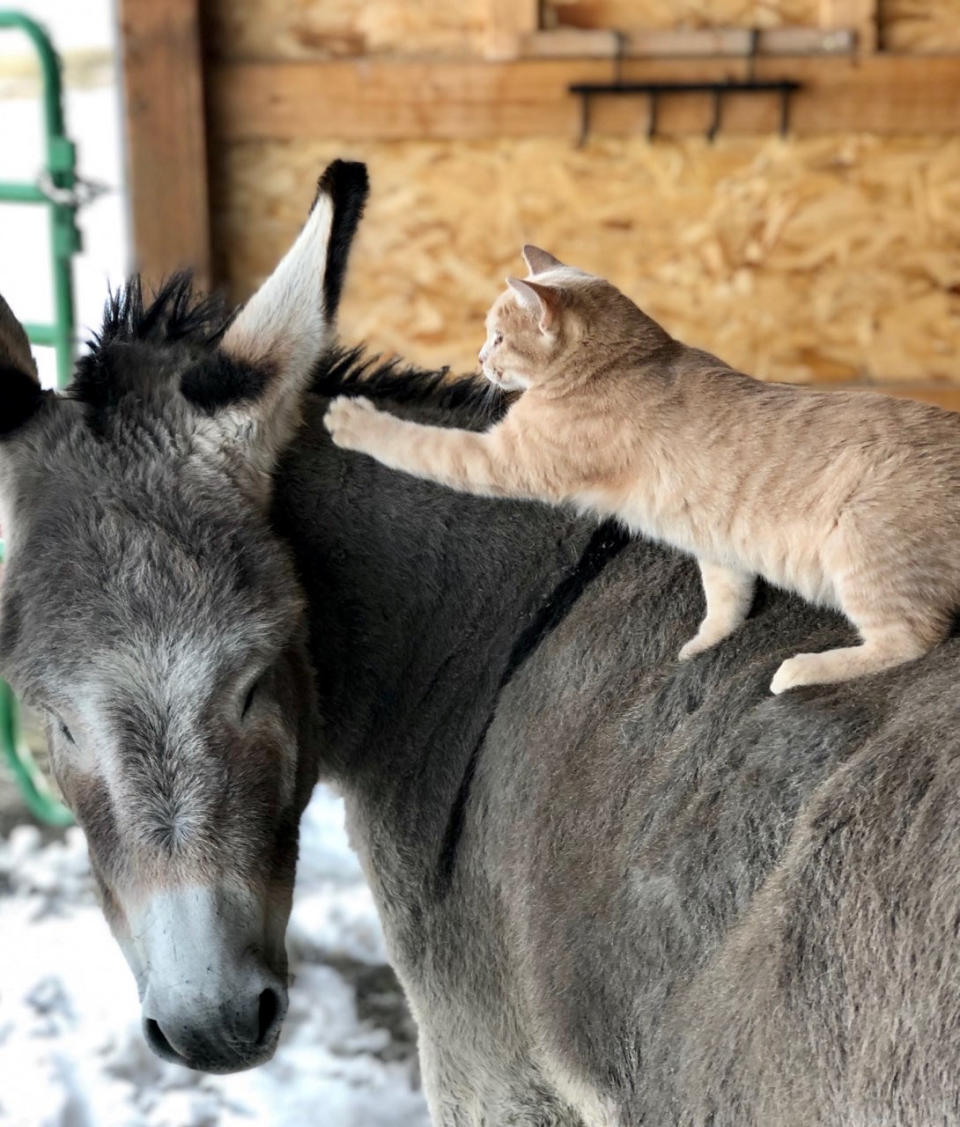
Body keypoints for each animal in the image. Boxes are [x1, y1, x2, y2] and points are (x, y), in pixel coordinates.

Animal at [324, 242, 960, 689]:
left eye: (498, 337)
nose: (479, 359)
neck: (623, 362)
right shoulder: (718, 540)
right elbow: (726, 596)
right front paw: (706, 642)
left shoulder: (503, 459)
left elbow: (418, 443)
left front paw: (354, 420)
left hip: (864, 549)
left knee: (910, 638)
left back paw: (801, 669)